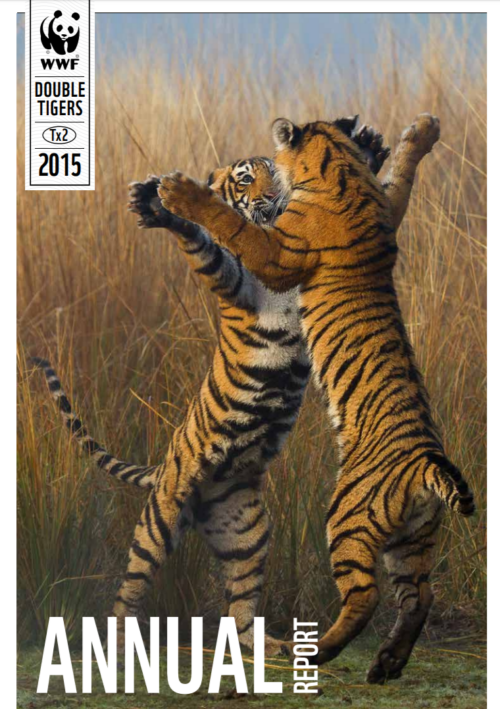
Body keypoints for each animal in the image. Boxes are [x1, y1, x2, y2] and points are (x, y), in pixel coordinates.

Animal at [32, 123, 389, 657]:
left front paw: (367, 147)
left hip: (247, 527)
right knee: (130, 585)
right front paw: (159, 205)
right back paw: (120, 642)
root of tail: (166, 468)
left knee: (240, 600)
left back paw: (266, 646)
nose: (272, 198)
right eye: (244, 179)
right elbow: (203, 240)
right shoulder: (236, 281)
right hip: (160, 516)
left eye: (276, 173)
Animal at [153, 113, 475, 683]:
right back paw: (386, 664)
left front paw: (181, 192)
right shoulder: (387, 208)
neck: (339, 170)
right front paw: (422, 131)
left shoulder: (281, 251)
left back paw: (316, 652)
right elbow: (402, 176)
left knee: (366, 596)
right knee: (420, 595)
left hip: (346, 515)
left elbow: (233, 226)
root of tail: (425, 464)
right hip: (413, 537)